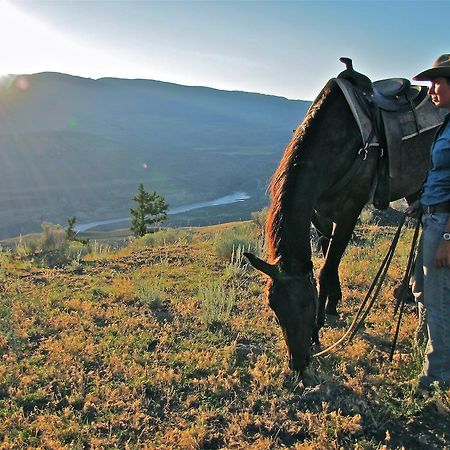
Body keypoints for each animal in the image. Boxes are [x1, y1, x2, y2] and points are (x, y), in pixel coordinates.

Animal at [246, 71, 440, 372]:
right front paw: (333, 304)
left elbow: (326, 270)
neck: (335, 143)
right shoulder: (320, 215)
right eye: (274, 308)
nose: (298, 363)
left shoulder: (349, 213)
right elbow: (328, 259)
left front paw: (318, 329)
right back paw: (406, 292)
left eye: (307, 303)